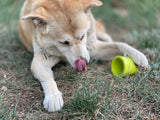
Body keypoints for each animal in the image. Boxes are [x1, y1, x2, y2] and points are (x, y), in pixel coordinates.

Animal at [18, 0, 148, 112]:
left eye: (82, 36)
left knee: (106, 36)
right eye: (64, 42)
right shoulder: (40, 60)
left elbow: (120, 44)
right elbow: (48, 79)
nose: (85, 61)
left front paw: (138, 55)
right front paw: (53, 97)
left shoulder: (92, 48)